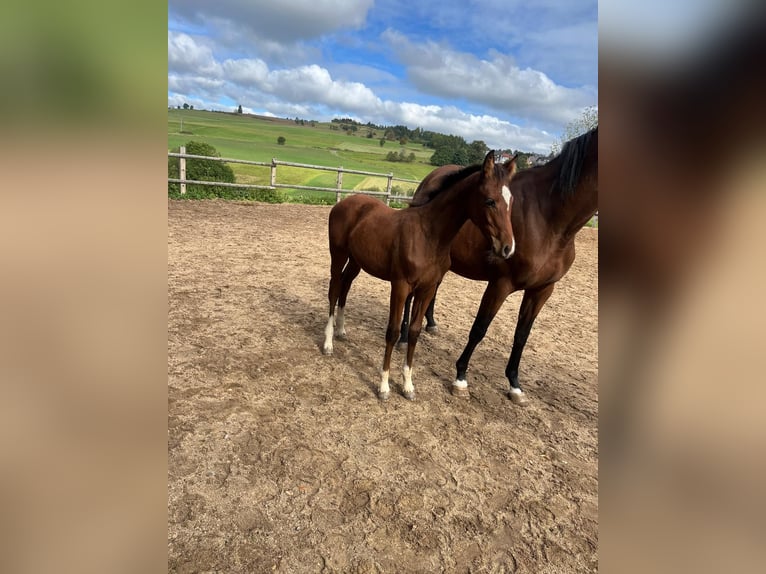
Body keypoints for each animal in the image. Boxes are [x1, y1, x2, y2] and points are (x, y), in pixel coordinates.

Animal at [322, 151, 519, 401]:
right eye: (490, 201)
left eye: (511, 202)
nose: (507, 248)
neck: (428, 235)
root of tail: (344, 202)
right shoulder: (400, 286)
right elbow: (393, 331)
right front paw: (384, 387)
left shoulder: (427, 288)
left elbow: (415, 332)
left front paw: (408, 385)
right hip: (338, 255)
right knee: (334, 289)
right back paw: (328, 343)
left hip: (357, 261)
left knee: (346, 285)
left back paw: (341, 330)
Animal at [399, 128, 597, 404]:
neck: (549, 218)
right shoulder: (501, 284)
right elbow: (479, 329)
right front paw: (460, 378)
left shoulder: (542, 290)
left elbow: (522, 335)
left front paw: (515, 384)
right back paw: (403, 336)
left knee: (434, 289)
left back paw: (431, 322)